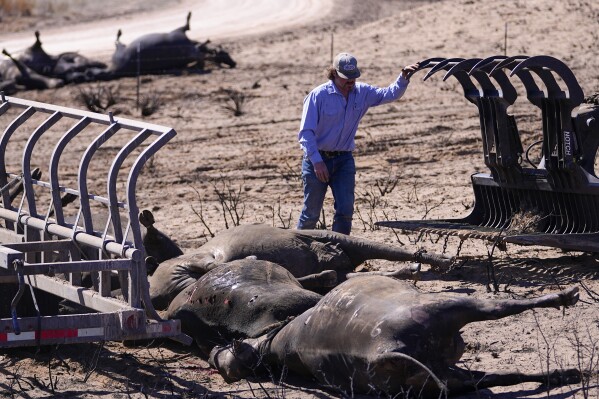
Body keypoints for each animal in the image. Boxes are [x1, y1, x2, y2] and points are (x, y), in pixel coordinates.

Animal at [211, 276, 580, 398]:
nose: (214, 352)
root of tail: (380, 349)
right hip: (453, 307)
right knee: (507, 309)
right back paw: (565, 299)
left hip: (448, 377)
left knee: (509, 376)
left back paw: (565, 373)